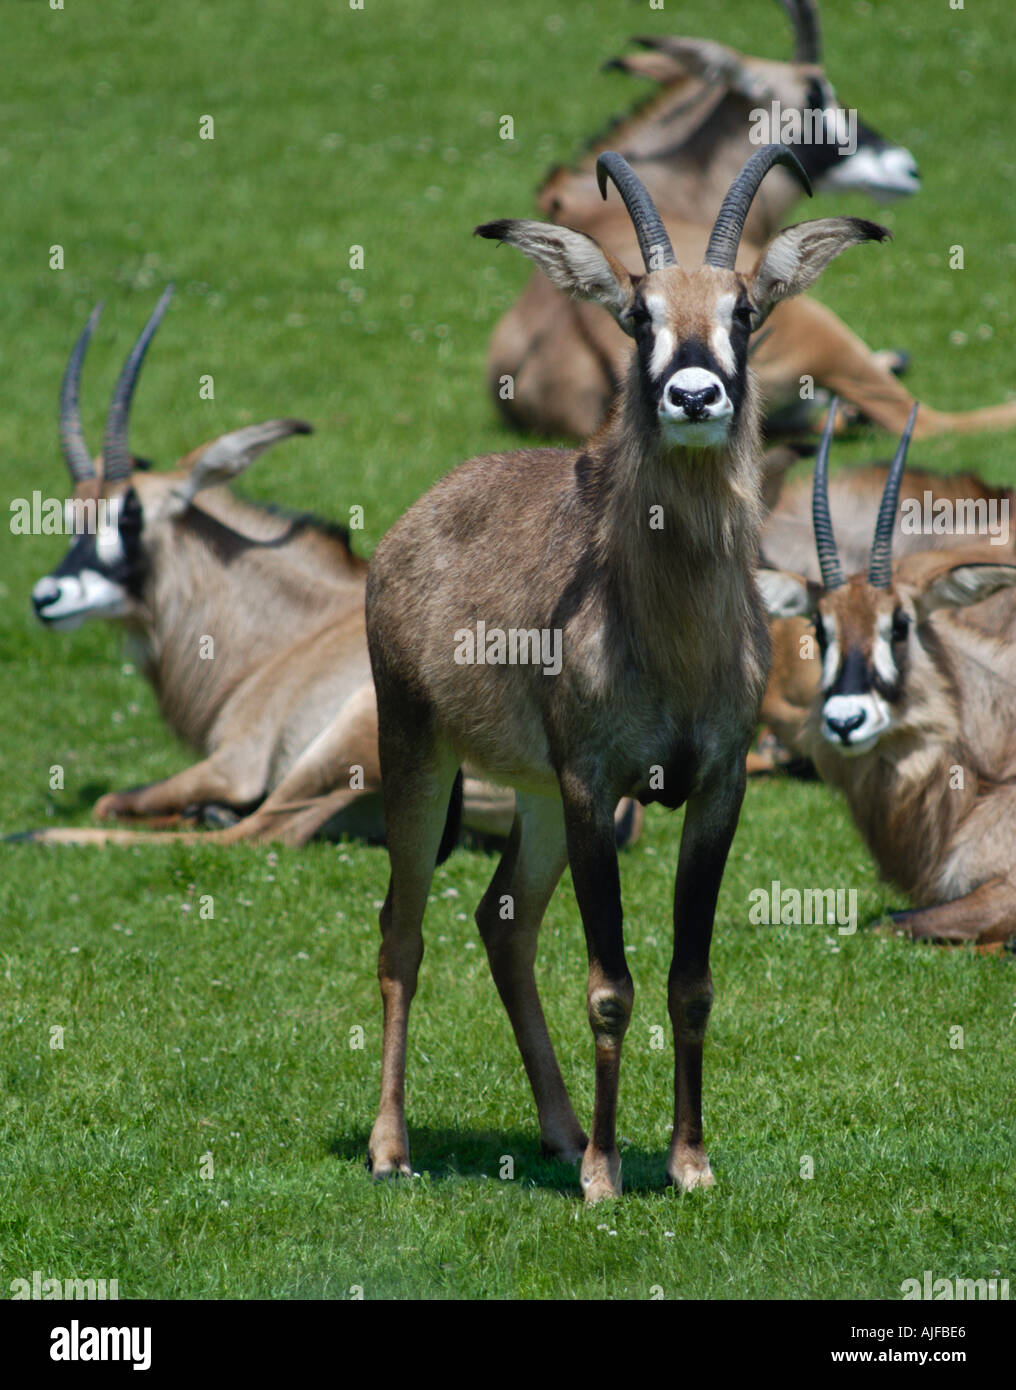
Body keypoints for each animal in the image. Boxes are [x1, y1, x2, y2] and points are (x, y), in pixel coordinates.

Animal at [19, 290, 617, 851]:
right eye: (71, 515)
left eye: (130, 515)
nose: (47, 597)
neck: (285, 638)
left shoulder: (236, 760)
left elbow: (115, 801)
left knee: (257, 831)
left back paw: (44, 835)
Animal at [364, 144, 889, 1200]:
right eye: (638, 314)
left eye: (744, 309)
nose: (693, 396)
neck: (674, 634)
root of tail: (417, 518)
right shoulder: (592, 782)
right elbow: (611, 985)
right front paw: (609, 1175)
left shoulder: (714, 788)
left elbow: (691, 981)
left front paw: (688, 1163)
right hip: (420, 754)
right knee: (404, 930)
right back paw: (393, 1147)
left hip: (534, 798)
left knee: (504, 923)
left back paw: (561, 1131)